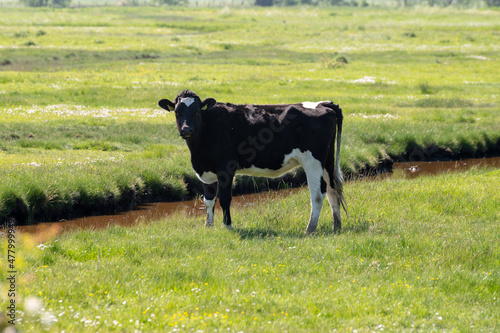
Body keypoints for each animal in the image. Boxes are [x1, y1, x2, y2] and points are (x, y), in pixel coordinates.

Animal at [158, 89, 346, 232]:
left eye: (197, 111)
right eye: (177, 112)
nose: (186, 130)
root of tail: (323, 104)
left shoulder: (226, 169)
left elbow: (224, 198)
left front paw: (228, 226)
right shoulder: (206, 171)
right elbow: (208, 199)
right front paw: (208, 226)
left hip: (313, 162)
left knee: (318, 194)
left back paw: (310, 228)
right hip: (327, 162)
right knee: (332, 190)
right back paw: (336, 226)